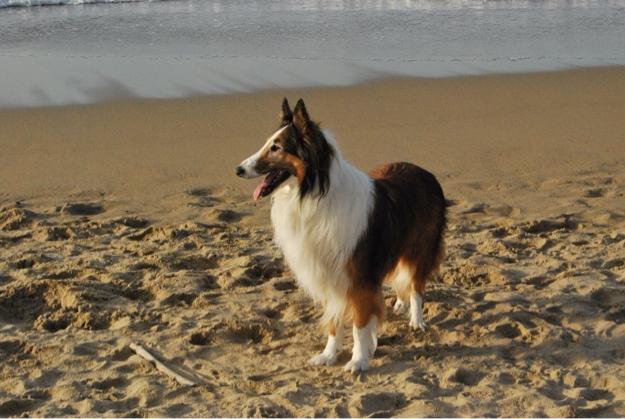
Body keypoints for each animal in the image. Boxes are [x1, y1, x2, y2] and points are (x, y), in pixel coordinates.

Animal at [234, 99, 444, 374]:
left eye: (276, 147)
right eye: (268, 143)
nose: (238, 169)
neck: (312, 195)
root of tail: (425, 171)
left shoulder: (358, 280)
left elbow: (359, 326)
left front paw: (358, 360)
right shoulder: (328, 277)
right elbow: (333, 322)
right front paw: (328, 355)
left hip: (419, 249)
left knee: (417, 285)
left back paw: (416, 320)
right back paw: (400, 303)